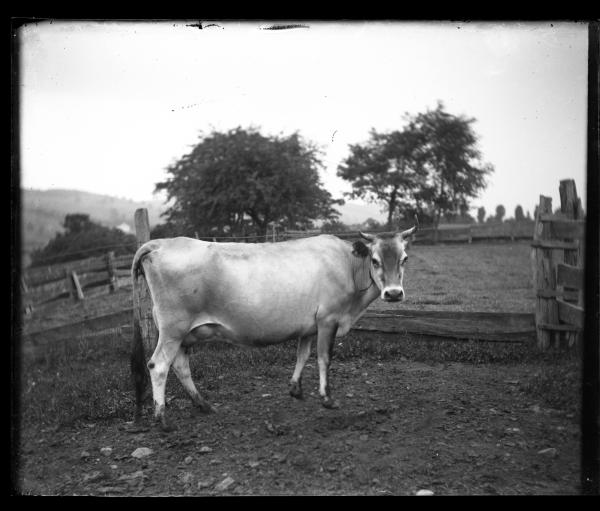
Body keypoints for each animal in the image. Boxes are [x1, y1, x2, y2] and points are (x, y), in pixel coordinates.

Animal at [130, 218, 418, 430]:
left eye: (404, 258)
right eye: (375, 260)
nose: (394, 293)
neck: (348, 266)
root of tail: (159, 244)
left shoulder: (309, 325)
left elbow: (303, 355)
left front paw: (296, 389)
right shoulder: (328, 318)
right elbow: (324, 358)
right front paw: (327, 398)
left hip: (183, 333)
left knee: (180, 366)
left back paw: (204, 405)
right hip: (173, 328)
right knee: (158, 366)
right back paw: (162, 419)